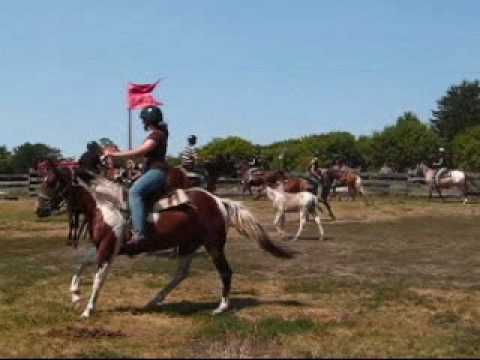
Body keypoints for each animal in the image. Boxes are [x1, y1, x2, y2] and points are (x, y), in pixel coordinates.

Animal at [35, 166, 292, 318]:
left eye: (52, 182)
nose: (39, 210)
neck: (105, 206)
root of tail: (219, 201)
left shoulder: (108, 249)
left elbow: (98, 279)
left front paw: (88, 309)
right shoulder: (102, 247)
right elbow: (81, 264)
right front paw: (75, 295)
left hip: (214, 246)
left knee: (225, 272)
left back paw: (221, 307)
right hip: (189, 245)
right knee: (181, 273)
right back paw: (155, 299)